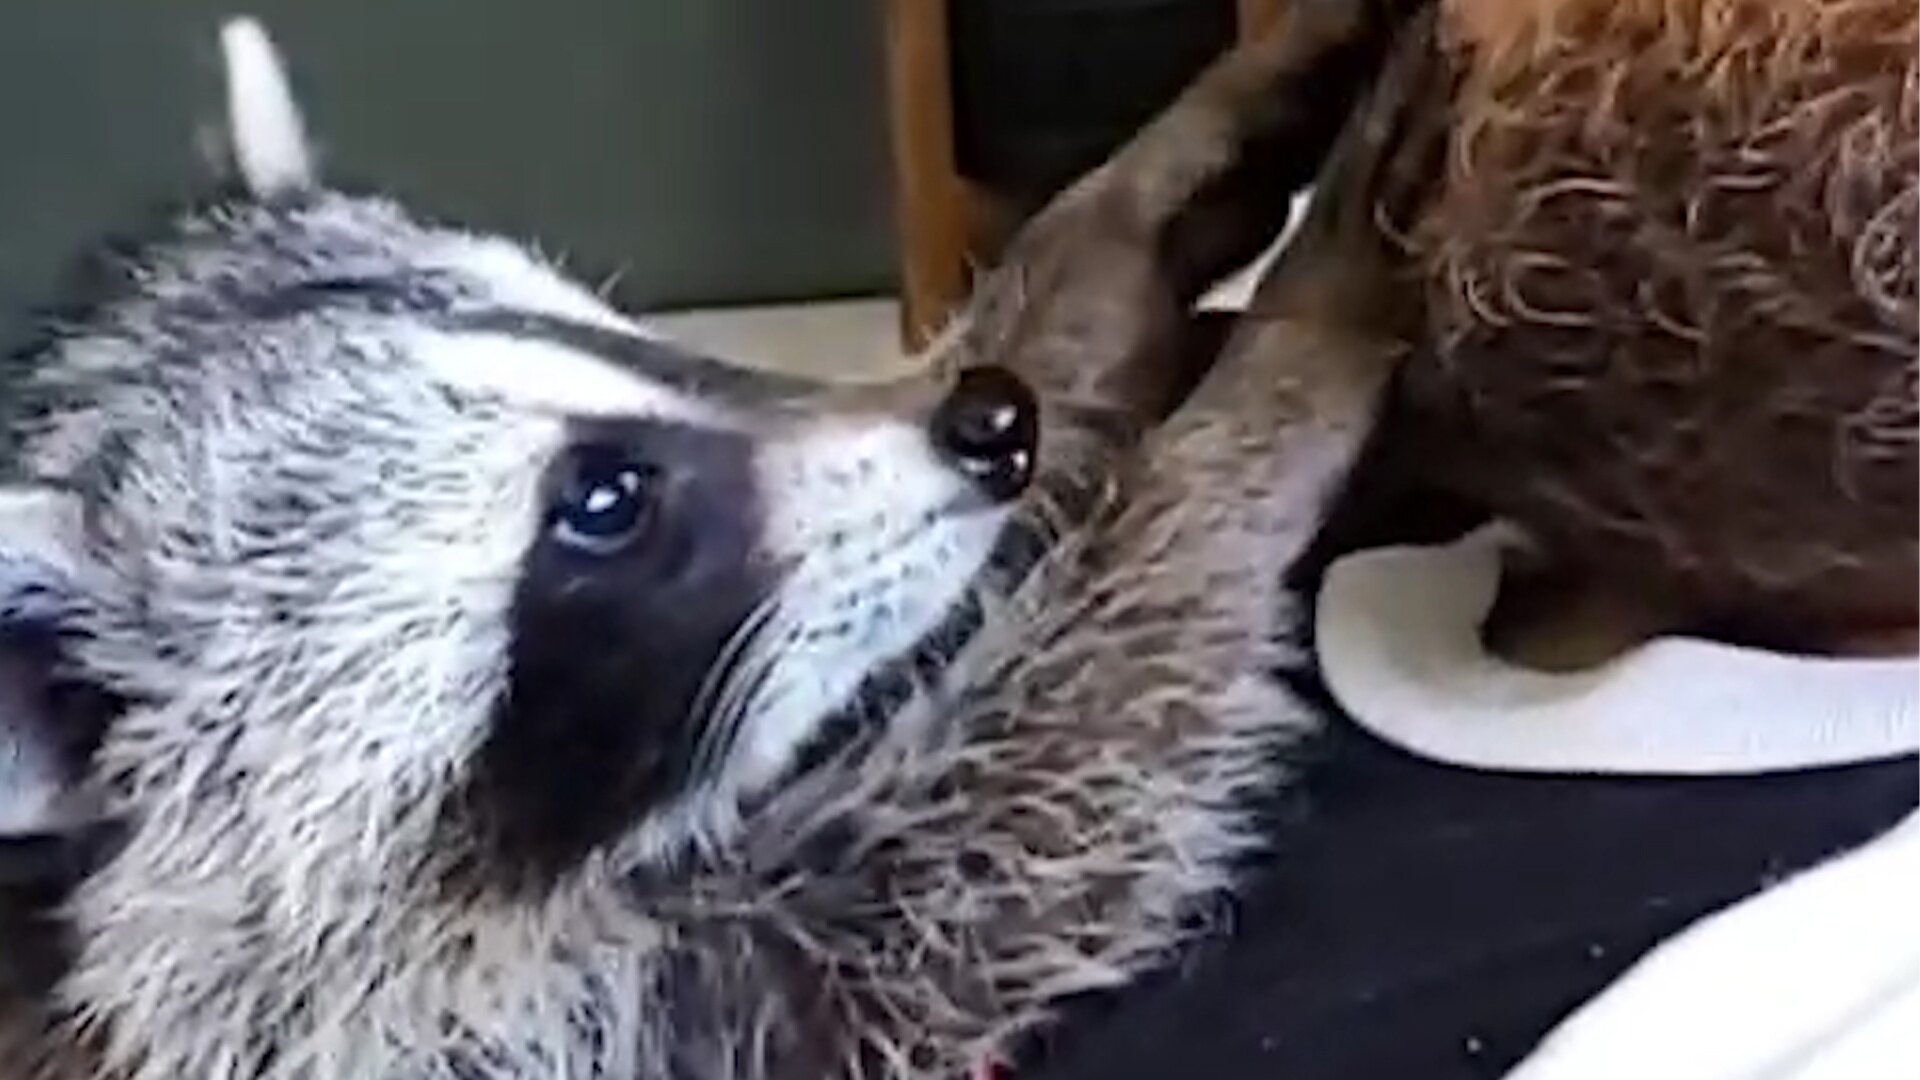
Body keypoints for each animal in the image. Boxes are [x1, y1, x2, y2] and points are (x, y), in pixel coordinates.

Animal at [0, 10, 1404, 1079]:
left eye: (622, 331)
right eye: (603, 502)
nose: (988, 428)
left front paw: (1145, 198)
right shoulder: (516, 1035)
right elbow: (1015, 829)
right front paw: (1281, 374)